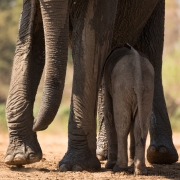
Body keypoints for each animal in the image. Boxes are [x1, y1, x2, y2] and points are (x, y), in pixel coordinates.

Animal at [102, 44, 154, 175]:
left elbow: (109, 115)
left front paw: (109, 166)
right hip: (147, 89)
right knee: (140, 127)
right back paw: (140, 171)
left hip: (122, 87)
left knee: (122, 124)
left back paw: (119, 168)